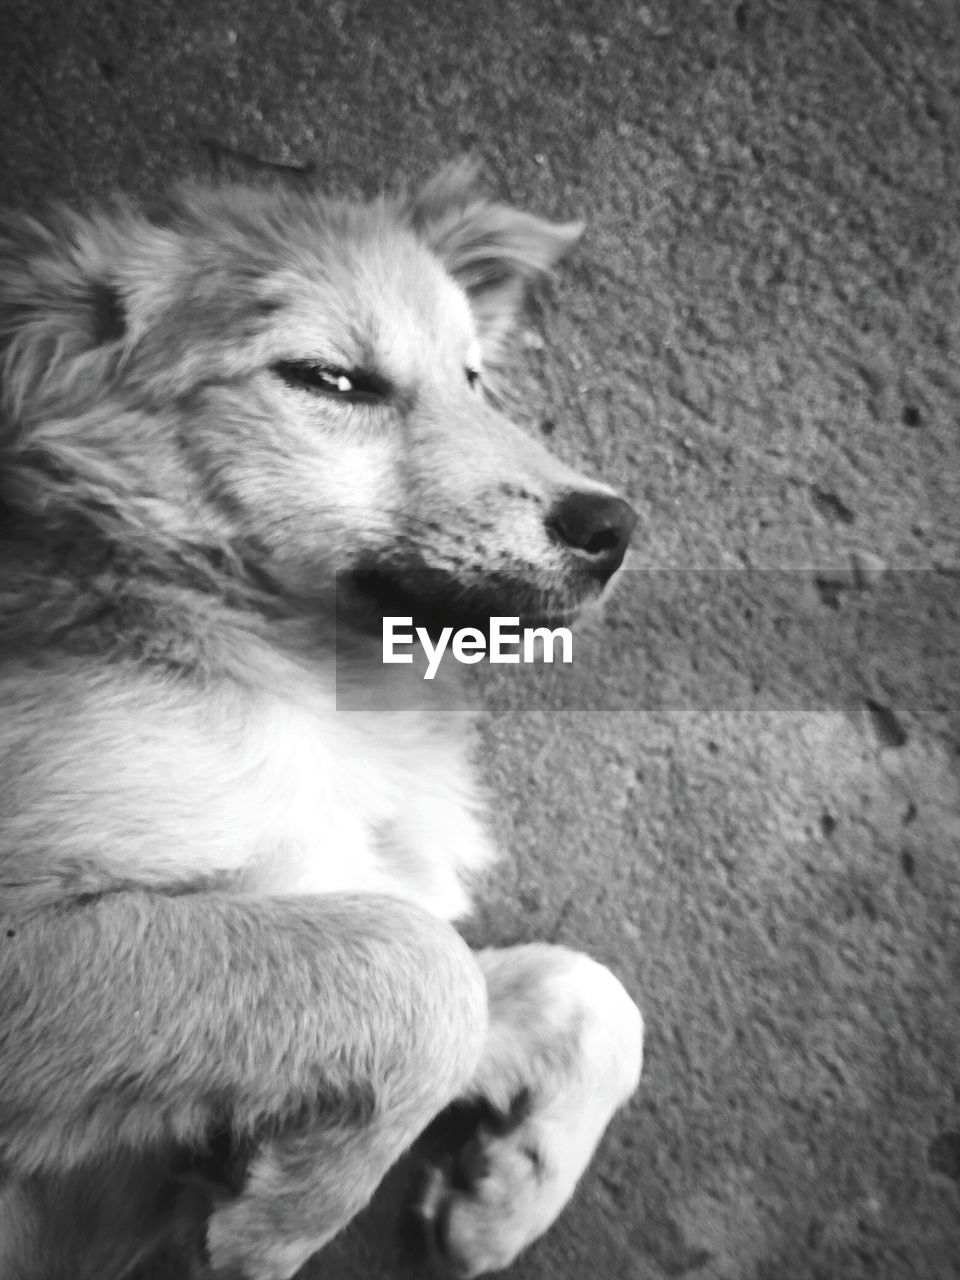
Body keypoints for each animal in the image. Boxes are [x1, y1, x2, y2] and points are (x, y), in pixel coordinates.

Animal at [1, 162, 647, 1280]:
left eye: (473, 378)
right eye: (330, 380)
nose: (614, 526)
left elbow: (581, 987)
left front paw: (509, 1190)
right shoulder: (31, 940)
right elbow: (423, 970)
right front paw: (289, 1215)